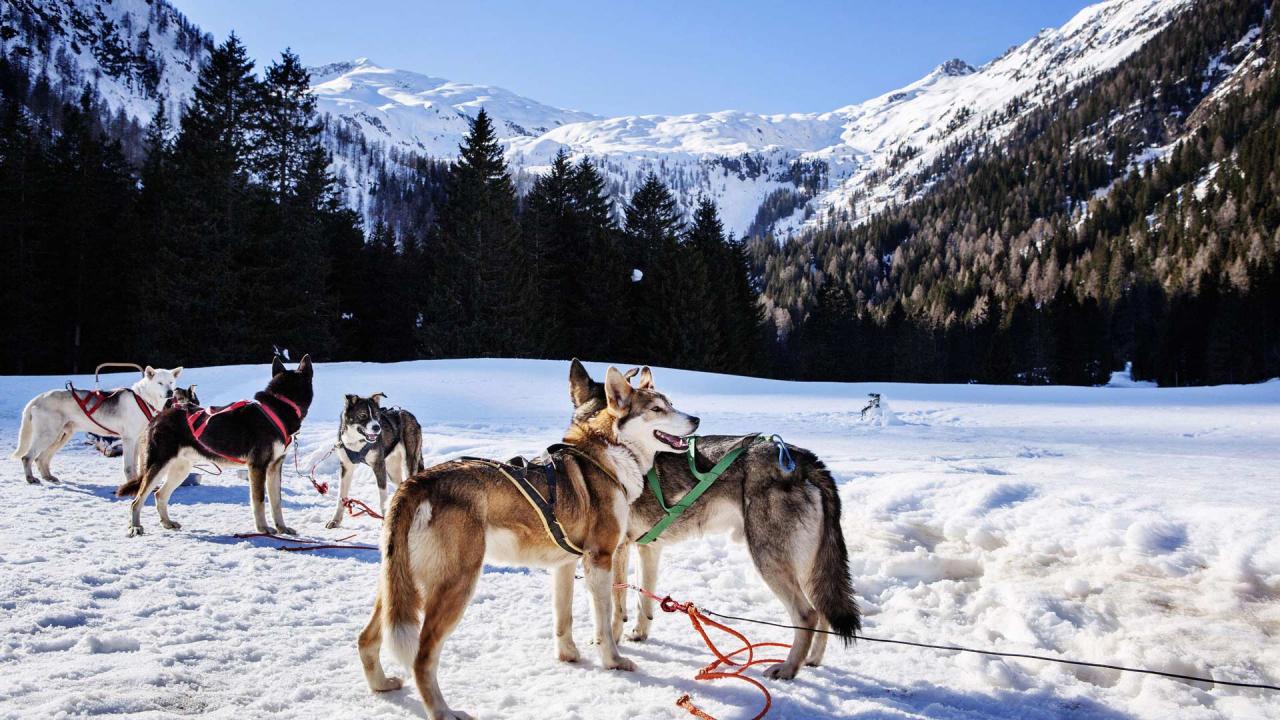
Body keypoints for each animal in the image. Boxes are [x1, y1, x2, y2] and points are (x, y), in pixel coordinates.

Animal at [11, 363, 183, 486]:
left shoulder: (136, 440)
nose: (170, 392)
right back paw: (31, 479)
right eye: (160, 383)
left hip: (60, 436)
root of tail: (38, 398)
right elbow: (128, 467)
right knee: (27, 457)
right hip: (48, 435)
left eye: (171, 382)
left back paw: (48, 476)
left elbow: (134, 465)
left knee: (41, 458)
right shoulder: (128, 439)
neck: (144, 399)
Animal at [125, 356, 314, 535]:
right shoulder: (258, 467)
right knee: (137, 500)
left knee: (159, 495)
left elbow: (276, 502)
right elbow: (259, 500)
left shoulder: (274, 467)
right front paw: (263, 528)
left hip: (181, 469)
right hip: (158, 466)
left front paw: (282, 528)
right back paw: (135, 527)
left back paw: (166, 522)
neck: (279, 406)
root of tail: (159, 415)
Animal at [327, 392, 427, 527]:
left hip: (409, 462)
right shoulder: (346, 467)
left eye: (376, 415)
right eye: (363, 415)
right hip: (392, 469)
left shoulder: (379, 466)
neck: (357, 442)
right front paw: (335, 520)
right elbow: (341, 496)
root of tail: (409, 415)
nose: (377, 427)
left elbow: (383, 498)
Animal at [360, 366, 696, 712]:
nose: (696, 419)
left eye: (670, 403)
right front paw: (613, 661)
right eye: (657, 409)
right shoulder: (600, 558)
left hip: (399, 588)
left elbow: (563, 617)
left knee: (367, 639)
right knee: (422, 658)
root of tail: (417, 482)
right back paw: (444, 711)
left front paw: (568, 655)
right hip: (454, 585)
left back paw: (382, 684)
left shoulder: (564, 565)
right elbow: (604, 624)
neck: (610, 456)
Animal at [568, 358, 860, 676]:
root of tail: (803, 458)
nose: (695, 419)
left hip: (768, 558)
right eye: (657, 408)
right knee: (823, 612)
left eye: (668, 405)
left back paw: (787, 669)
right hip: (807, 565)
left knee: (807, 614)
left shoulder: (617, 548)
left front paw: (613, 641)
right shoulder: (648, 547)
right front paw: (639, 633)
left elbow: (618, 602)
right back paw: (811, 660)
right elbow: (644, 597)